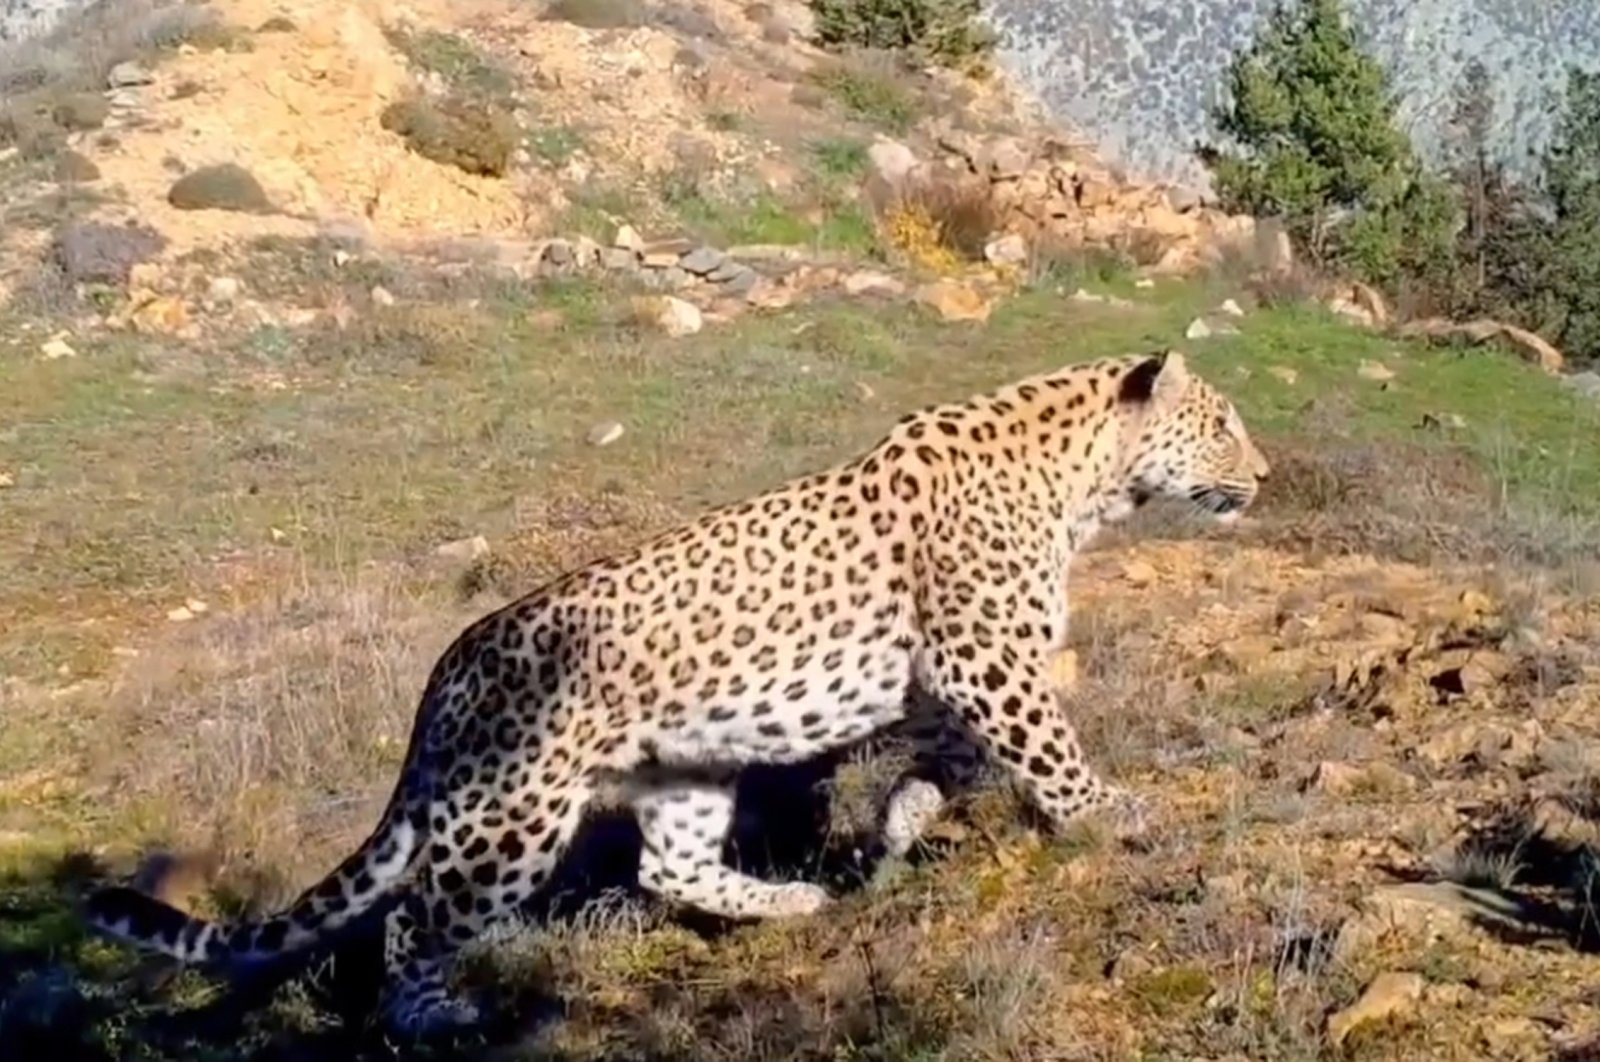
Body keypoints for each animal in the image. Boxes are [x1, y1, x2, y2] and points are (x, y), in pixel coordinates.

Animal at [87, 347, 1267, 1036]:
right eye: (1220, 424)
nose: (1260, 476)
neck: (1083, 487)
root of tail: (444, 674)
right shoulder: (983, 656)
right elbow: (1047, 747)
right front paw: (1109, 814)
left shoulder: (953, 676)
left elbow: (959, 756)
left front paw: (900, 823)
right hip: (512, 815)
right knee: (417, 919)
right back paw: (437, 1019)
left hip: (684, 767)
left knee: (669, 868)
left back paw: (793, 903)